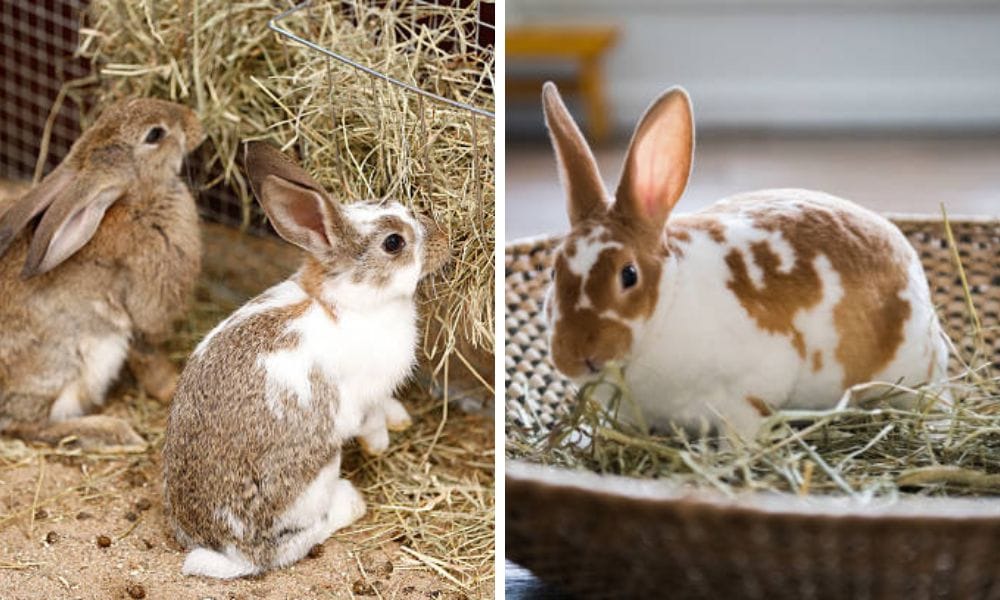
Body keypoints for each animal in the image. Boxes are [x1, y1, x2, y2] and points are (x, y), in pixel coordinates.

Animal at [0, 98, 204, 451]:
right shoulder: (143, 310)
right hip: (61, 365)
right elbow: (150, 357)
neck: (138, 201)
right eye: (155, 134)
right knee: (28, 427)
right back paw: (114, 432)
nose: (195, 122)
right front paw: (172, 387)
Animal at [162, 141, 450, 579]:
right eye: (393, 243)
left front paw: (400, 419)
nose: (445, 239)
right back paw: (350, 502)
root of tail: (229, 551)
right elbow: (370, 421)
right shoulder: (360, 397)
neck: (349, 301)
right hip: (316, 477)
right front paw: (380, 444)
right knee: (290, 545)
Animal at [540, 81, 950, 441]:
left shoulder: (750, 390)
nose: (577, 356)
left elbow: (741, 432)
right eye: (554, 271)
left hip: (912, 377)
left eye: (628, 274)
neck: (668, 304)